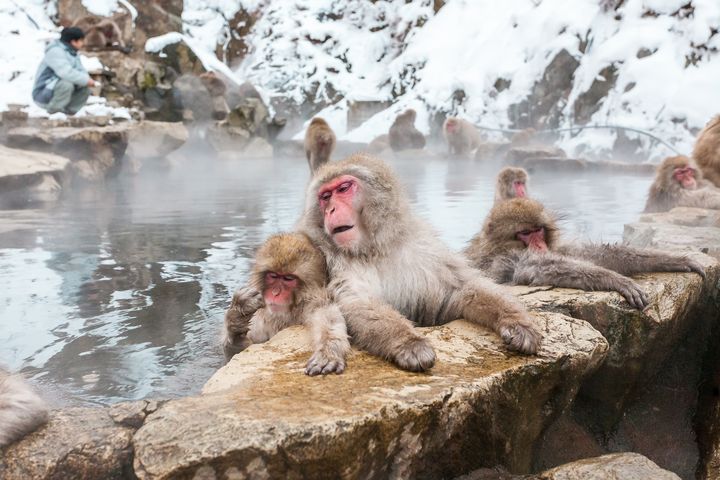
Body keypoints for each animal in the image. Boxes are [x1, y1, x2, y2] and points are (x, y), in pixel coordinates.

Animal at [224, 232, 350, 376]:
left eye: (288, 278)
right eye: (273, 276)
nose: (275, 293)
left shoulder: (315, 301)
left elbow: (329, 319)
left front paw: (329, 352)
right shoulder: (261, 317)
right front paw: (237, 319)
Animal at [298, 154, 540, 372]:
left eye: (343, 188)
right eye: (325, 196)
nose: (330, 210)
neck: (375, 248)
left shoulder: (424, 248)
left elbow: (460, 289)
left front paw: (516, 321)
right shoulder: (336, 261)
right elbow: (358, 301)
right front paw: (409, 343)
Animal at [464, 197, 704, 310]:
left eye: (538, 230)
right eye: (524, 233)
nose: (539, 246)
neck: (497, 247)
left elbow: (592, 254)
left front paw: (673, 259)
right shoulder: (501, 260)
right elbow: (535, 266)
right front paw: (615, 280)